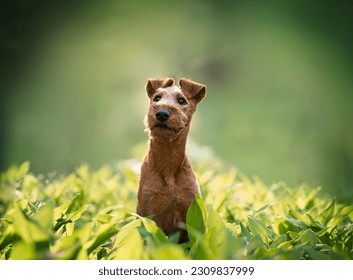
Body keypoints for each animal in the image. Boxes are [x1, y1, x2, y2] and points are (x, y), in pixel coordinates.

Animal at [135, 77, 206, 243]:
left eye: (181, 100)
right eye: (157, 98)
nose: (161, 113)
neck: (168, 164)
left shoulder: (191, 215)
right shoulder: (149, 214)